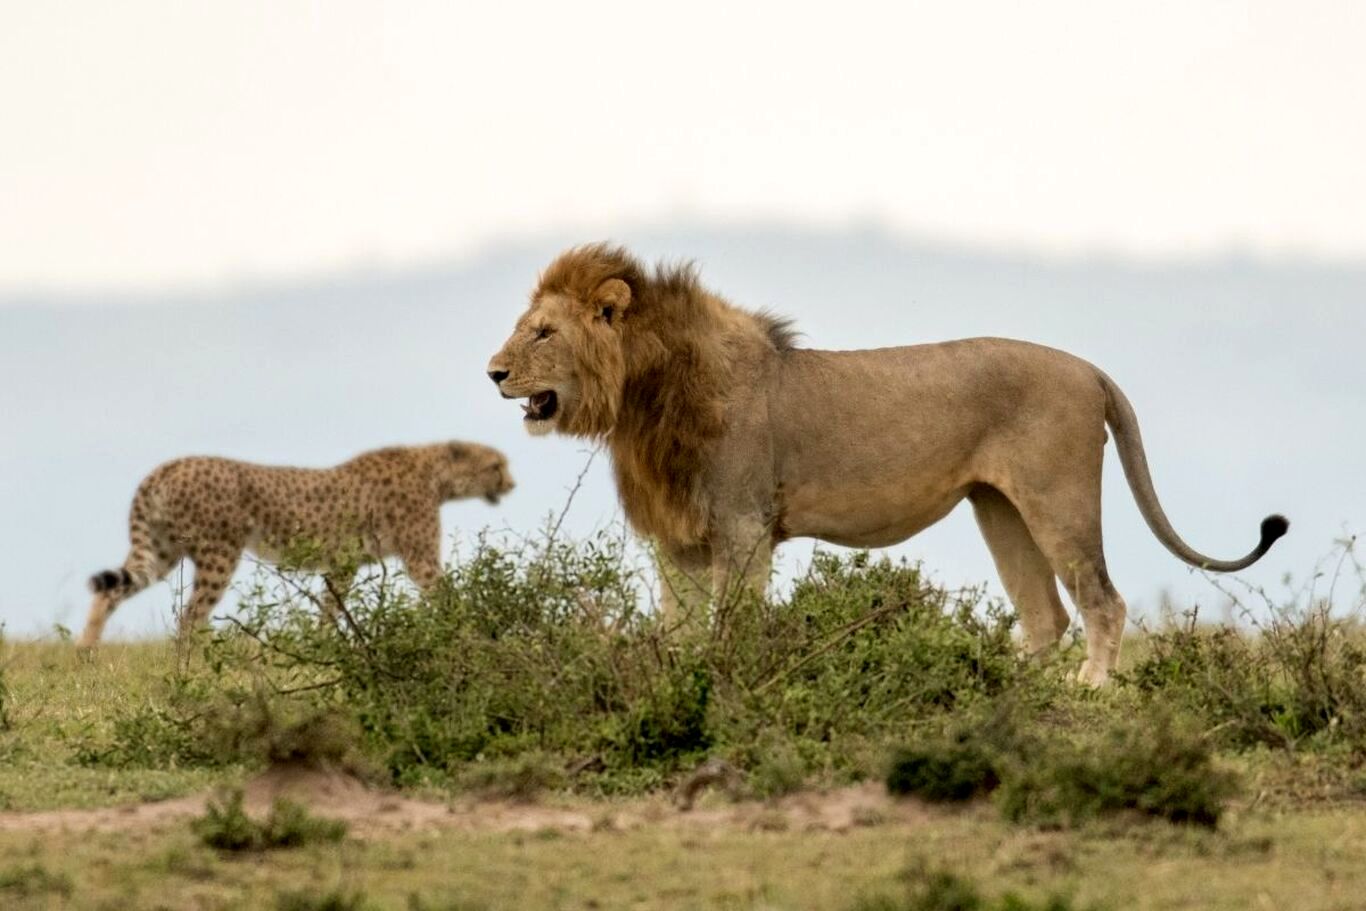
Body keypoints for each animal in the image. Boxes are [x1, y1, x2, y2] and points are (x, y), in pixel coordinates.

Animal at [79, 442, 516, 647]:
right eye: (496, 465)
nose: (512, 484)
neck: (436, 471)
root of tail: (167, 465)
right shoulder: (420, 560)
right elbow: (447, 596)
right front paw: (473, 630)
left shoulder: (343, 564)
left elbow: (329, 608)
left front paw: (326, 646)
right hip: (220, 553)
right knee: (189, 616)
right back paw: (195, 664)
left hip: (163, 551)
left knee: (111, 591)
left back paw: (86, 654)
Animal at [486, 241, 1284, 682]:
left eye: (543, 332)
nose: (493, 373)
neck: (644, 400)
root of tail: (1090, 369)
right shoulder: (678, 538)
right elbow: (678, 628)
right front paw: (675, 680)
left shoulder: (743, 525)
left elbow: (732, 626)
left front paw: (722, 682)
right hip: (999, 508)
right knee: (1045, 616)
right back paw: (993, 684)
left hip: (1057, 498)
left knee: (1101, 600)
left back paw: (1087, 688)